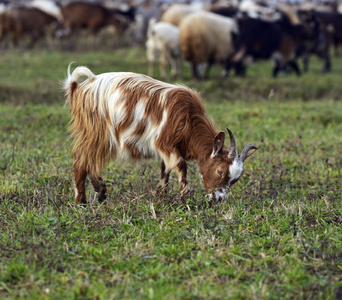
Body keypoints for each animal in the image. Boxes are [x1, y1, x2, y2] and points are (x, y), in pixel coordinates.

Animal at [63, 64, 256, 205]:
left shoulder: (170, 149)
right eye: (219, 171)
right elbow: (181, 167)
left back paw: (101, 193)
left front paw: (160, 198)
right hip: (96, 133)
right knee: (81, 163)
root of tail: (79, 88)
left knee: (90, 162)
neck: (188, 119)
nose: (219, 199)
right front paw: (187, 199)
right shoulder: (165, 143)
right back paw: (81, 202)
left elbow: (165, 171)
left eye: (235, 180)